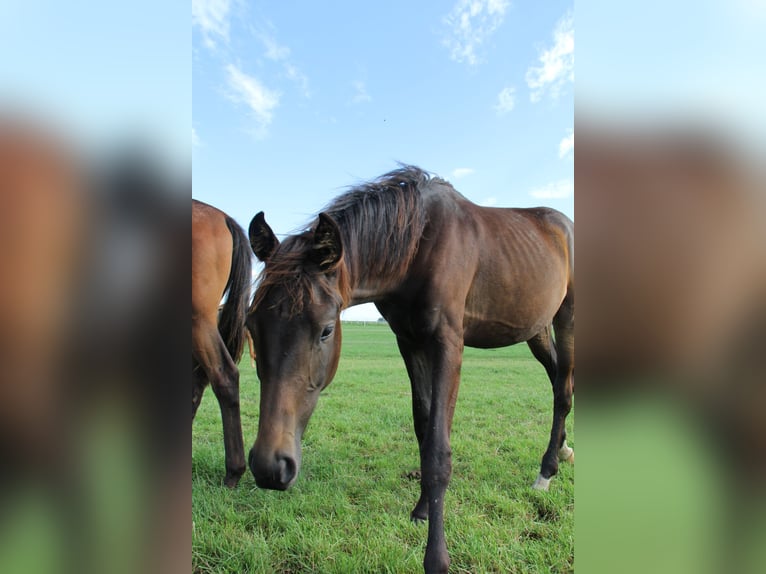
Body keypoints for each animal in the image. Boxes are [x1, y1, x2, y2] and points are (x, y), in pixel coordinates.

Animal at [246, 168, 576, 574]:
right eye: (251, 325)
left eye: (325, 329)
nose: (269, 467)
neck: (419, 247)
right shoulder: (409, 341)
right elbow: (422, 424)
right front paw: (420, 510)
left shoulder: (448, 343)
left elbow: (437, 447)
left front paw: (436, 557)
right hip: (536, 330)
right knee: (558, 379)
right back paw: (562, 451)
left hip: (566, 318)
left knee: (563, 390)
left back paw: (546, 471)